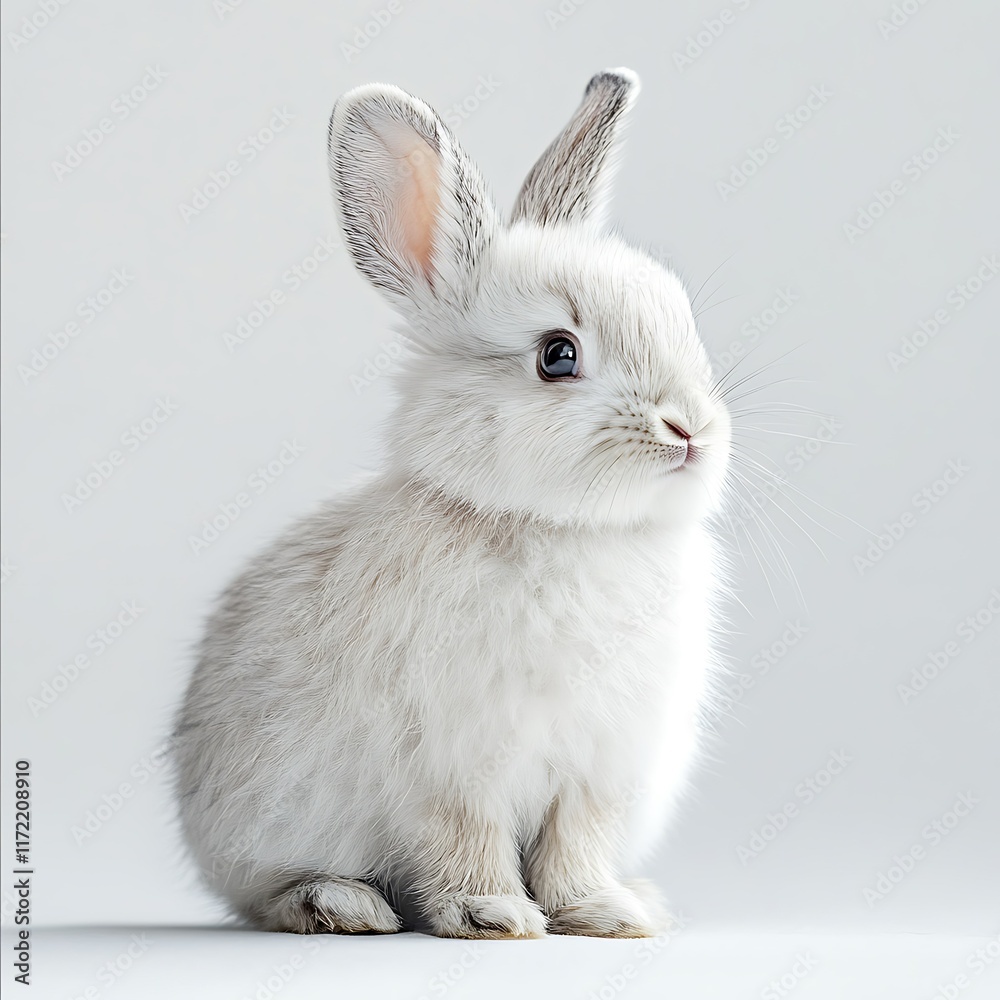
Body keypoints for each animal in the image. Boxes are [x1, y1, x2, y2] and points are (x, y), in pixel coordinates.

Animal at [173, 66, 732, 940]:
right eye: (557, 355)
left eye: (682, 320)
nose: (691, 431)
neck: (563, 529)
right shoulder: (450, 763)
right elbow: (463, 837)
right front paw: (493, 914)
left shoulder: (598, 770)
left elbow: (576, 844)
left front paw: (604, 913)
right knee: (264, 894)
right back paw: (340, 902)